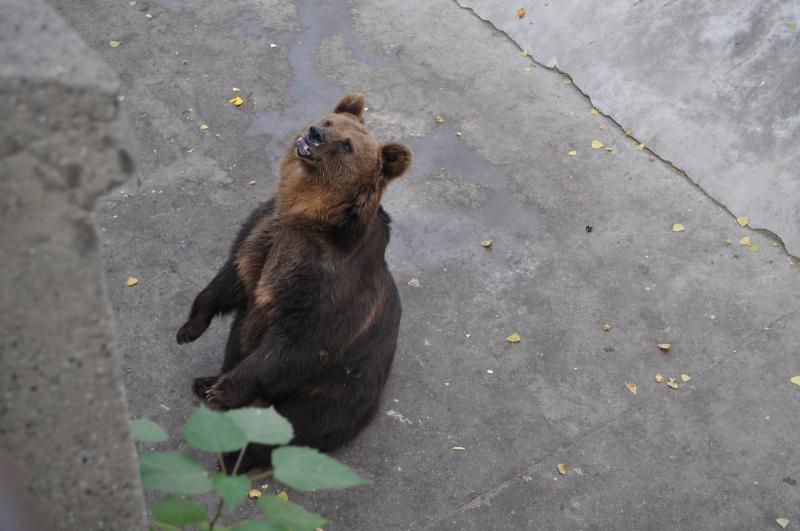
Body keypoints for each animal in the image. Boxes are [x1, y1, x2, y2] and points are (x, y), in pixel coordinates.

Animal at [176, 93, 412, 472]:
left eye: (347, 146)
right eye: (330, 122)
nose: (314, 133)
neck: (308, 213)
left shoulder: (326, 286)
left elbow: (296, 343)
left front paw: (224, 389)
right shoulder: (264, 232)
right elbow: (232, 278)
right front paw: (190, 328)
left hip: (336, 388)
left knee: (297, 426)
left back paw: (231, 455)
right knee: (238, 339)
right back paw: (206, 381)